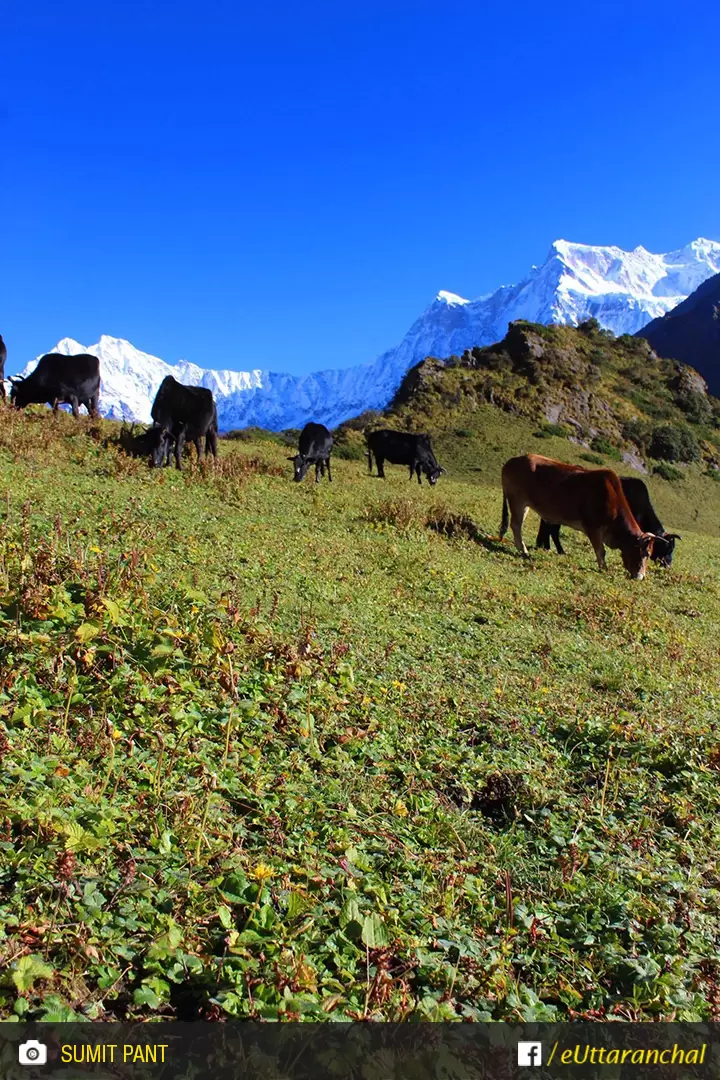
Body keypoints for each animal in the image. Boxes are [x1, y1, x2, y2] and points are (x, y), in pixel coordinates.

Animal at [500, 451, 660, 578]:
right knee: (516, 525)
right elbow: (601, 551)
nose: (640, 576)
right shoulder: (593, 528)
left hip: (524, 504)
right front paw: (604, 569)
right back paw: (524, 552)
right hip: (517, 500)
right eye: (646, 553)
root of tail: (511, 461)